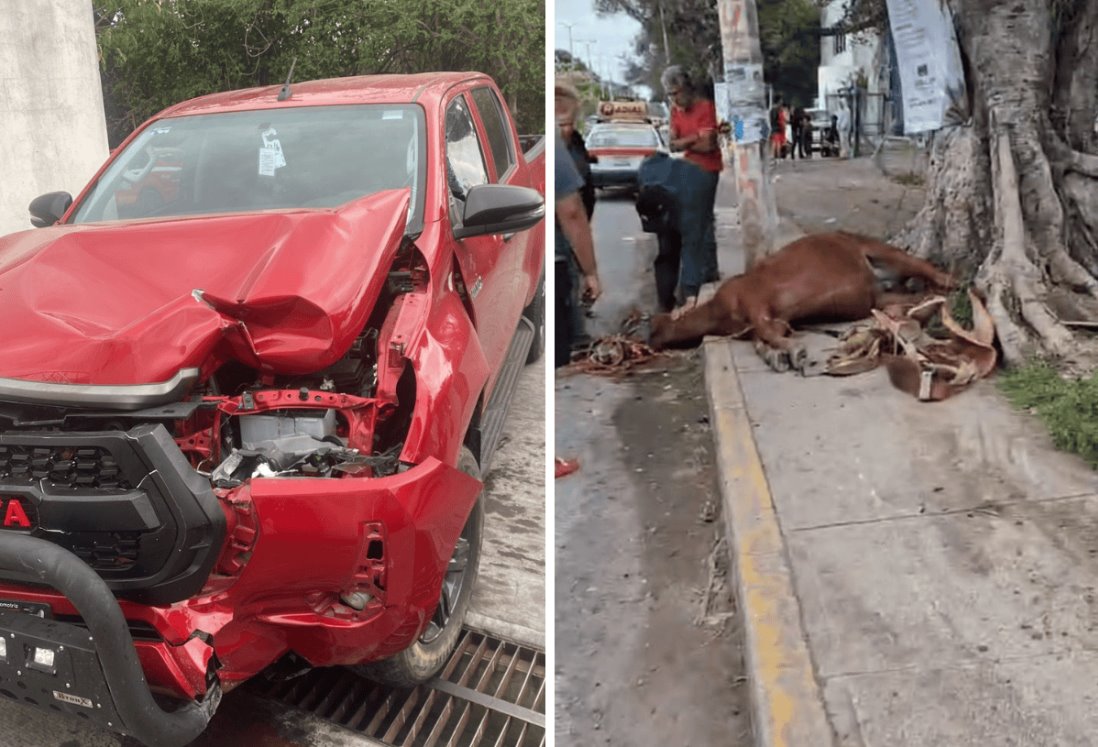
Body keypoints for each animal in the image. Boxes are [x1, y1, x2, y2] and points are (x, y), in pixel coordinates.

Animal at [650, 229, 953, 366]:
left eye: (655, 324)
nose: (647, 337)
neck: (720, 310)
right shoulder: (771, 319)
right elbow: (763, 338)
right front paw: (778, 357)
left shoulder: (755, 302)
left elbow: (767, 333)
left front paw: (795, 351)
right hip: (877, 297)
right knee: (919, 295)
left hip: (879, 250)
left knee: (925, 268)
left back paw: (952, 284)